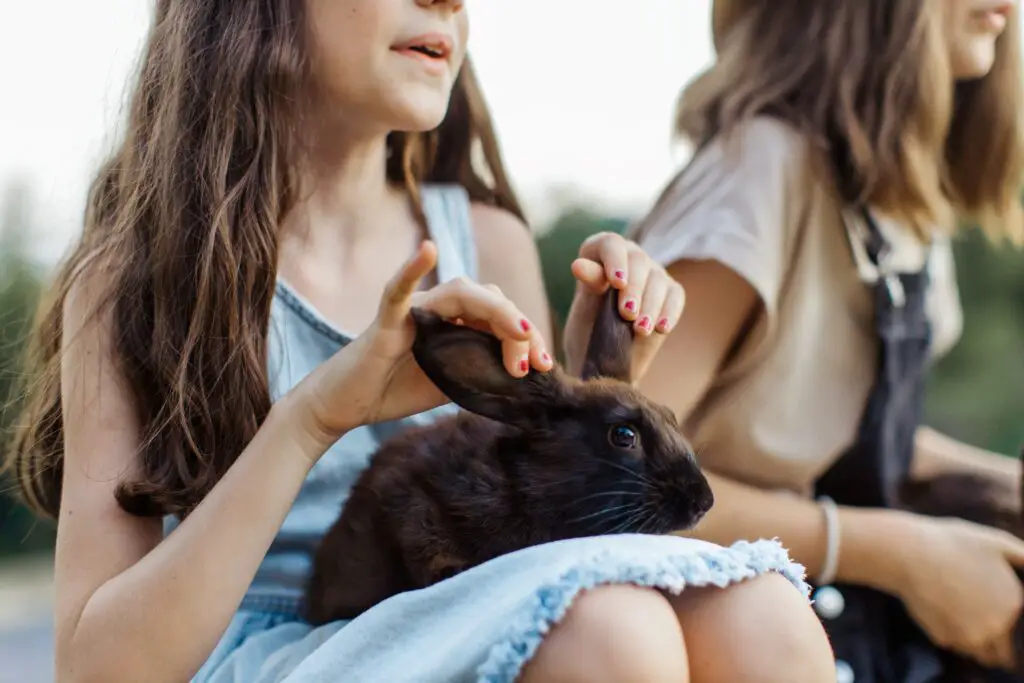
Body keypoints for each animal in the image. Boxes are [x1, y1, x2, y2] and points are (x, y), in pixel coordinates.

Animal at [303, 289, 714, 625]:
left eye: (671, 417)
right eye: (624, 435)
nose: (703, 501)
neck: (527, 482)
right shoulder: (409, 507)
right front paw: (453, 571)